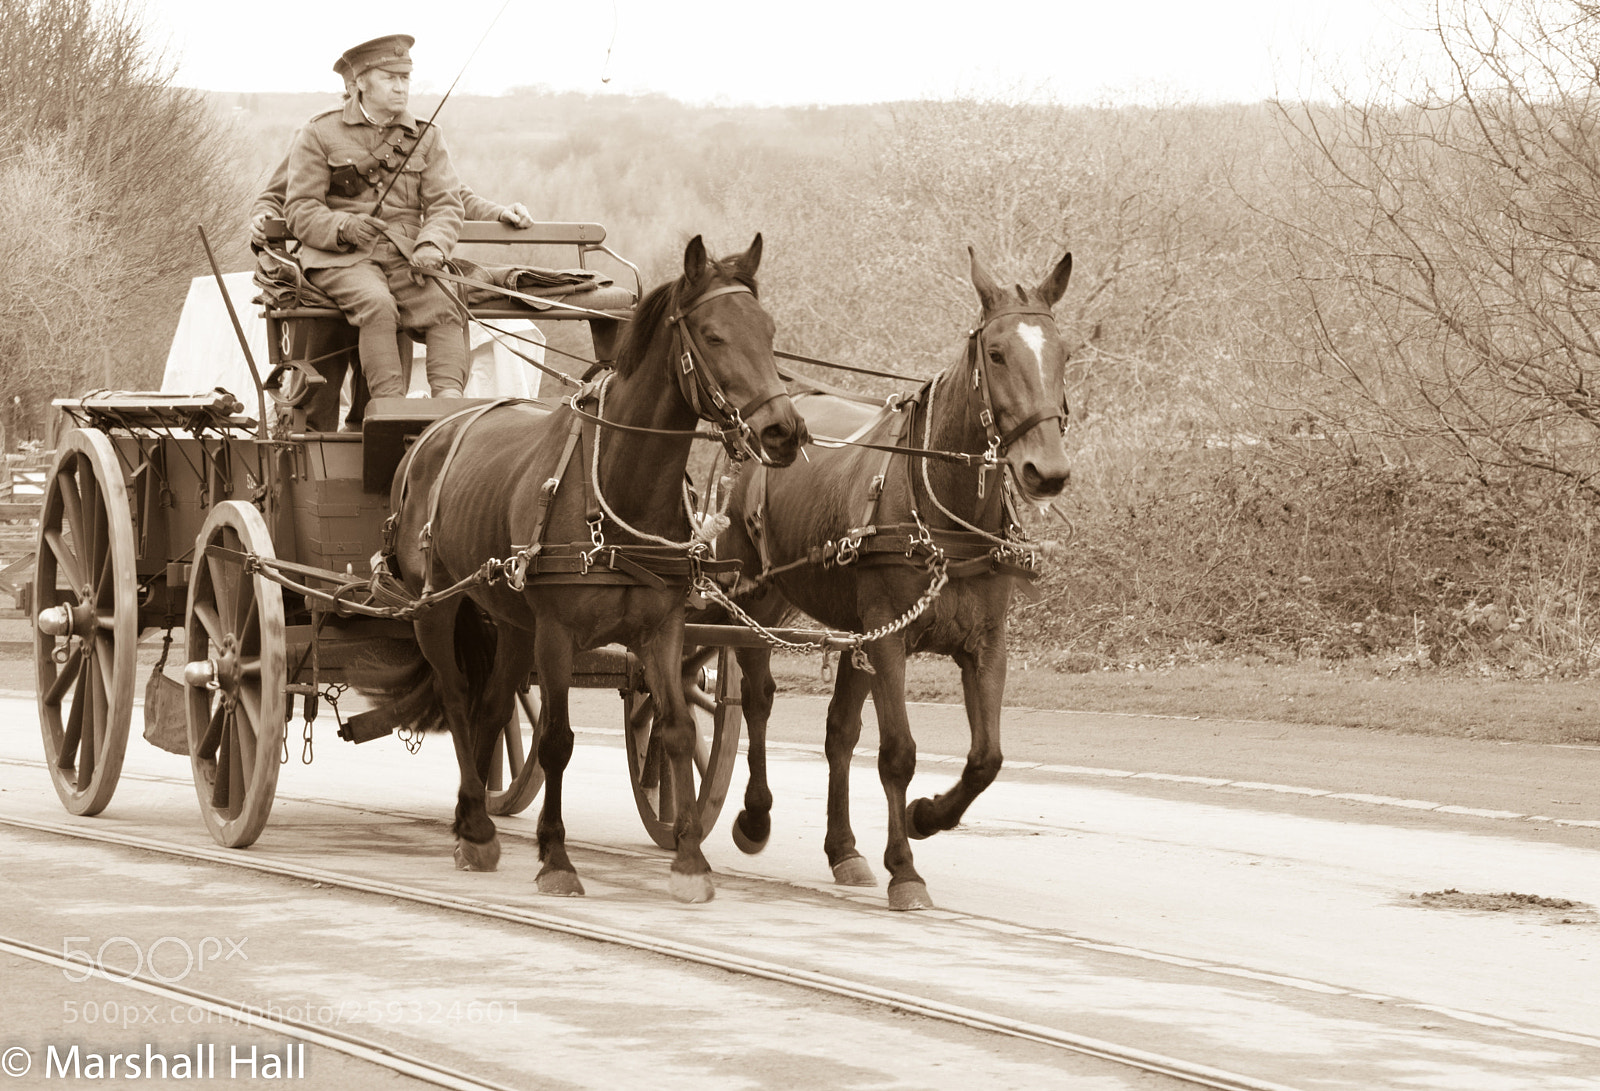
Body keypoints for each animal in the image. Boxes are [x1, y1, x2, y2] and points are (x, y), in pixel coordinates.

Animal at [356, 234, 807, 903]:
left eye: (768, 330)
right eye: (713, 334)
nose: (783, 431)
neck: (619, 491)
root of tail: (431, 433)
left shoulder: (662, 630)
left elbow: (676, 728)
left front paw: (689, 861)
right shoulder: (557, 634)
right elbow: (557, 740)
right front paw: (557, 857)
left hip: (511, 623)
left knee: (493, 706)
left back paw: (474, 823)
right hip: (436, 610)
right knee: (461, 700)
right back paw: (475, 823)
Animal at [708, 246, 1073, 910]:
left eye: (1065, 353)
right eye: (997, 353)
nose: (1048, 471)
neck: (944, 515)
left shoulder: (984, 643)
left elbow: (987, 757)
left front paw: (928, 816)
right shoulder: (890, 639)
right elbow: (898, 753)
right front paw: (906, 868)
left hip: (849, 630)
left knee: (838, 732)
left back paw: (843, 849)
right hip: (752, 597)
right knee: (755, 697)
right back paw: (754, 815)